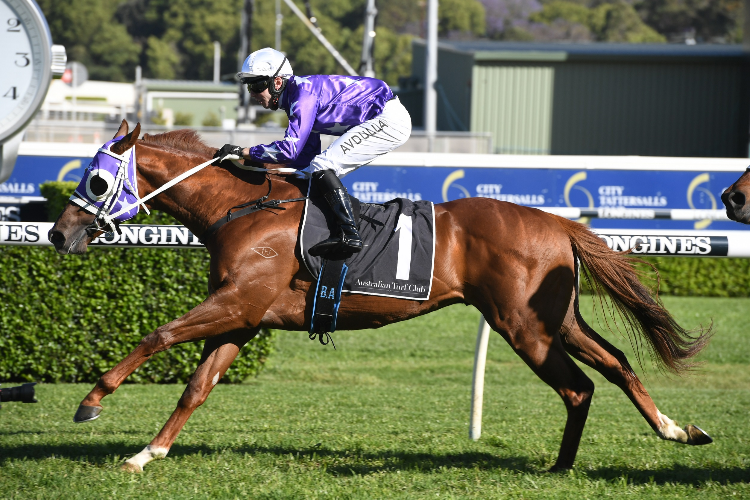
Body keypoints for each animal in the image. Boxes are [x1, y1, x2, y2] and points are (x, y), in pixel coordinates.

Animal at [50, 122, 712, 472]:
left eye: (95, 180)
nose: (58, 234)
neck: (242, 207)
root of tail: (556, 222)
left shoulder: (237, 304)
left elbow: (158, 334)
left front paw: (91, 401)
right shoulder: (243, 317)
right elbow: (197, 386)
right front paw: (148, 453)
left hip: (523, 325)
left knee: (578, 386)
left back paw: (566, 464)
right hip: (557, 319)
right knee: (616, 365)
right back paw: (674, 431)